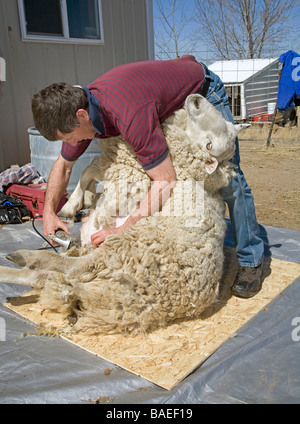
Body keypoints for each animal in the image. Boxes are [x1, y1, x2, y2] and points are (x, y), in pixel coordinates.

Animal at [0, 95, 247, 334]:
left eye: (209, 144)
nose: (196, 99)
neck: (188, 169)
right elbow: (87, 170)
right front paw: (82, 200)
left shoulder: (127, 172)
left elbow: (89, 169)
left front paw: (73, 205)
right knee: (50, 276)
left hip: (122, 248)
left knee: (70, 267)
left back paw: (24, 258)